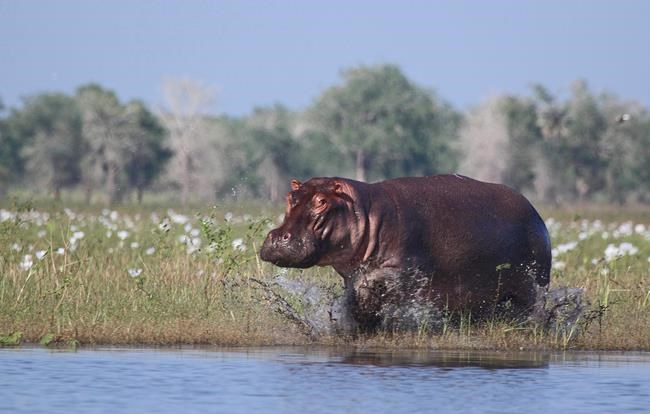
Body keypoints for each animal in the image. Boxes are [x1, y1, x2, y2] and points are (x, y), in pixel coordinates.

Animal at [259, 175, 551, 332]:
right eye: (289, 197)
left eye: (321, 201)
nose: (278, 237)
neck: (364, 210)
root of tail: (534, 210)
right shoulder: (352, 275)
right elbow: (354, 297)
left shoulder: (400, 273)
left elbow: (375, 294)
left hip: (534, 284)